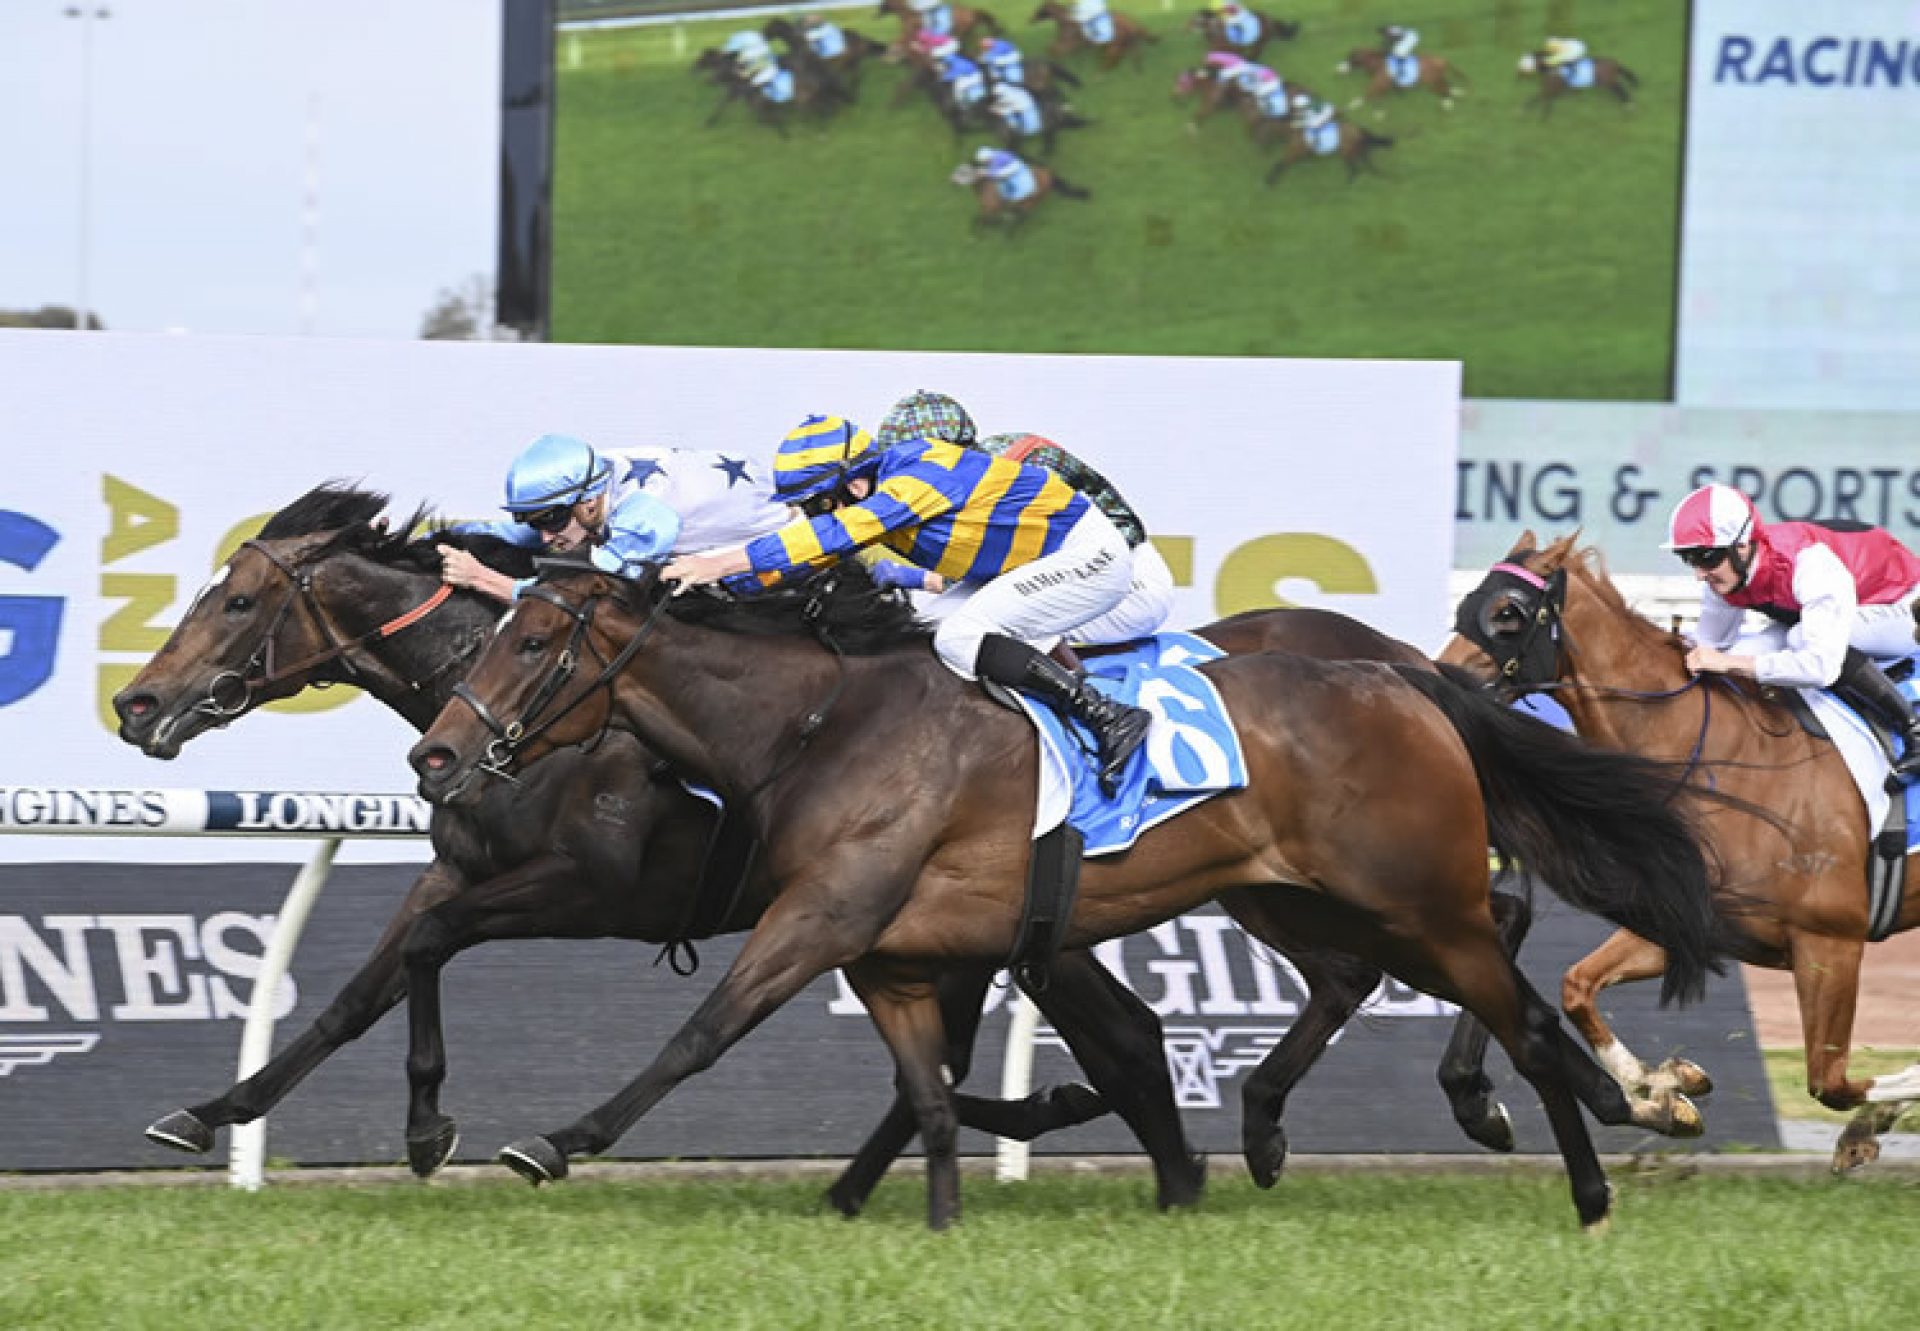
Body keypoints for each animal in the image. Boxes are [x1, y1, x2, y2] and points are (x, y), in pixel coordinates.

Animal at [412, 556, 1735, 1221]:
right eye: (490, 629)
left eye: (533, 642)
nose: (435, 752)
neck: (821, 720)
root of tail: (1407, 678)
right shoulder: (899, 949)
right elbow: (934, 1085)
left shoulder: (823, 914)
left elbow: (701, 1032)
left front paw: (556, 1140)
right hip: (1313, 897)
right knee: (1405, 983)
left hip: (1419, 900)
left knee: (1518, 1002)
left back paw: (1589, 1168)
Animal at [1336, 46, 1466, 108]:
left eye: (1351, 59)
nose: (1338, 69)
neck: (1379, 63)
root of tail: (1441, 60)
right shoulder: (1383, 87)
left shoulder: (1378, 84)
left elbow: (1367, 95)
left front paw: (1352, 105)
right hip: (1434, 80)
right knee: (1446, 87)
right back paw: (1456, 94)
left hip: (1431, 81)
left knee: (1443, 89)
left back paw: (1448, 103)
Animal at [1443, 533, 1920, 1167]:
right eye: (1467, 603)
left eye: (1507, 614)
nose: (1439, 675)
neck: (1724, 762)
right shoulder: (1697, 923)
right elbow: (1577, 986)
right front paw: (1668, 1084)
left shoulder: (1831, 942)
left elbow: (1831, 1082)